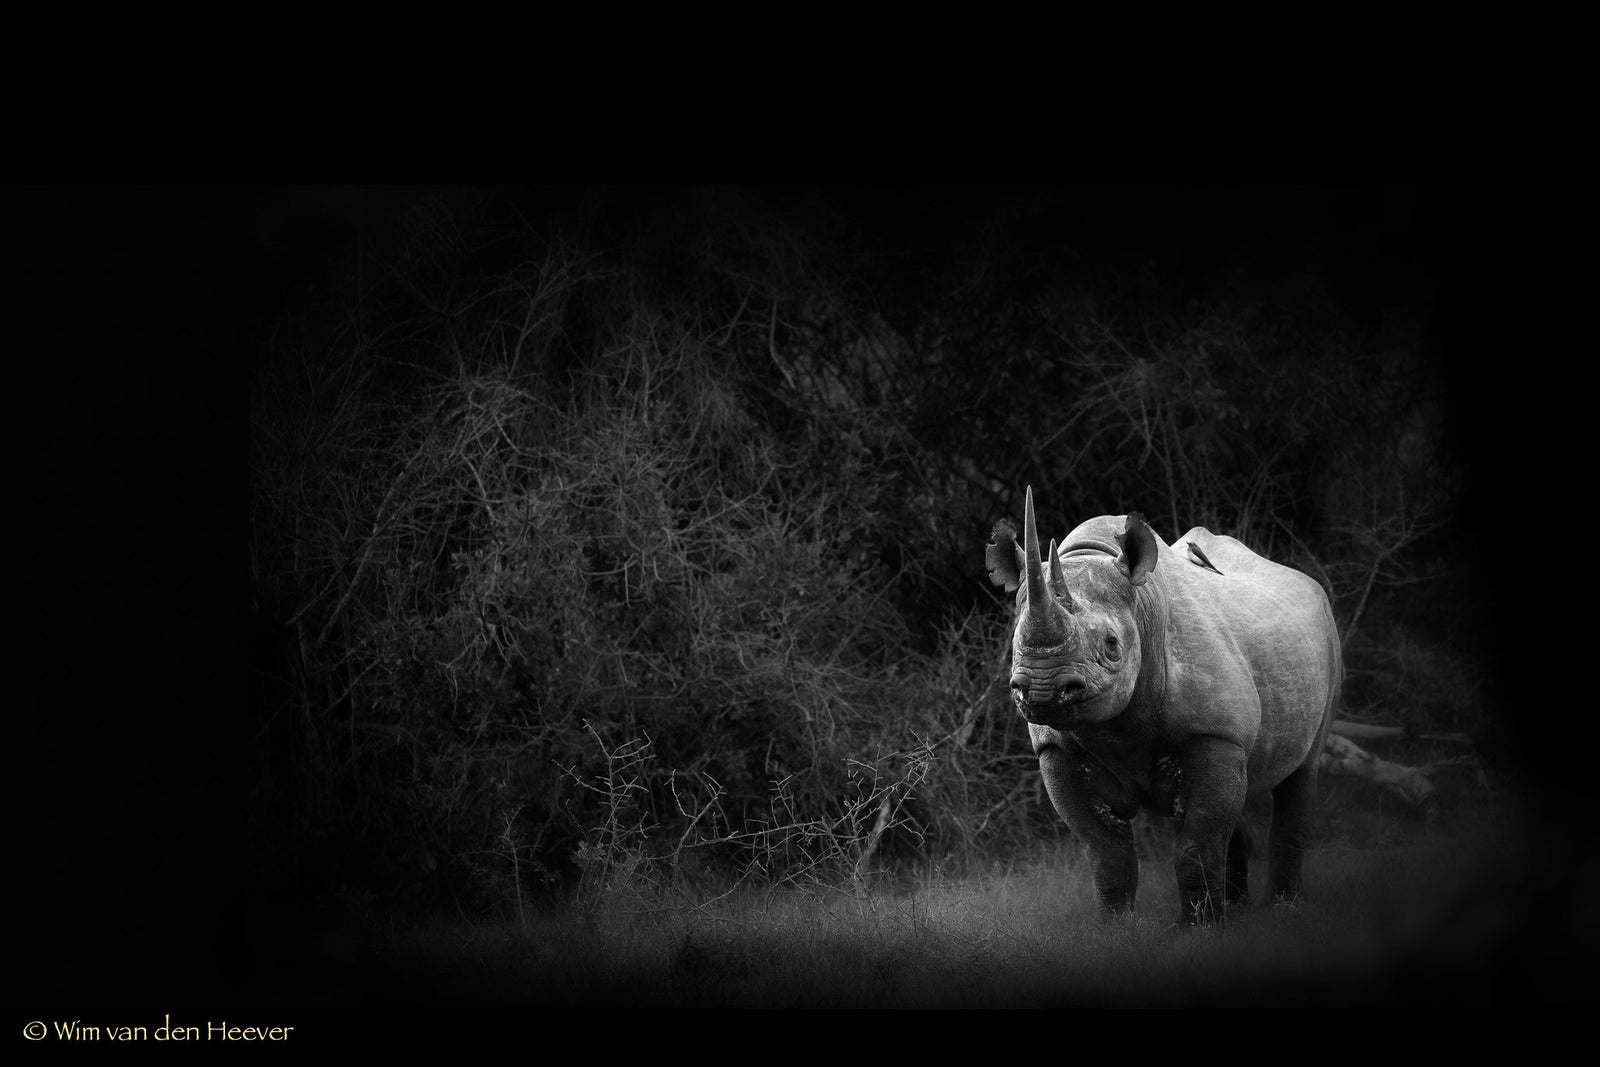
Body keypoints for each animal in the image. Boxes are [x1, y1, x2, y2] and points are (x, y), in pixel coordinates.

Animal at [985, 488, 1341, 923]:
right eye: (1016, 643)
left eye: (1111, 645)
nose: (1042, 689)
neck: (1140, 606)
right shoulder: (1056, 749)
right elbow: (1106, 849)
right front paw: (1115, 926)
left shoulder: (1214, 733)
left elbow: (1197, 841)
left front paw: (1200, 928)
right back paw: (1239, 907)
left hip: (1326, 635)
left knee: (1302, 772)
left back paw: (1283, 906)